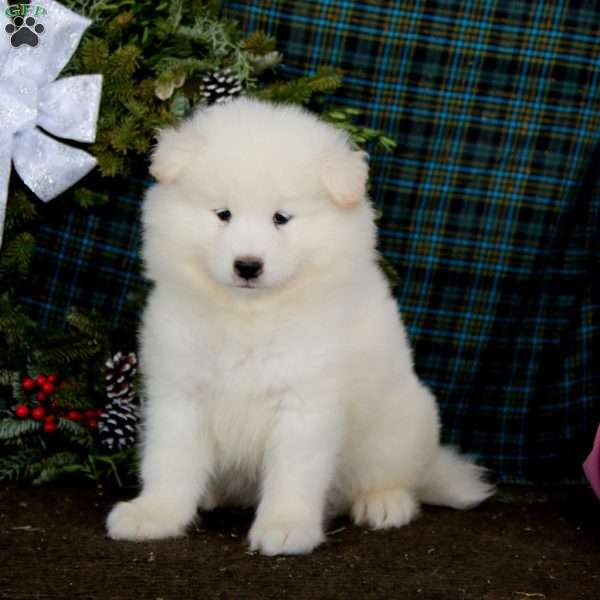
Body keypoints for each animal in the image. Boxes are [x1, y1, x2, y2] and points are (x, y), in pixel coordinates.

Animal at [106, 97, 492, 552]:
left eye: (281, 218)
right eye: (223, 214)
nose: (248, 265)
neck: (250, 314)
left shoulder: (306, 402)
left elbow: (294, 474)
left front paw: (286, 527)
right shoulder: (180, 392)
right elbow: (169, 462)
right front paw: (154, 514)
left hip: (399, 424)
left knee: (395, 476)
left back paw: (384, 504)